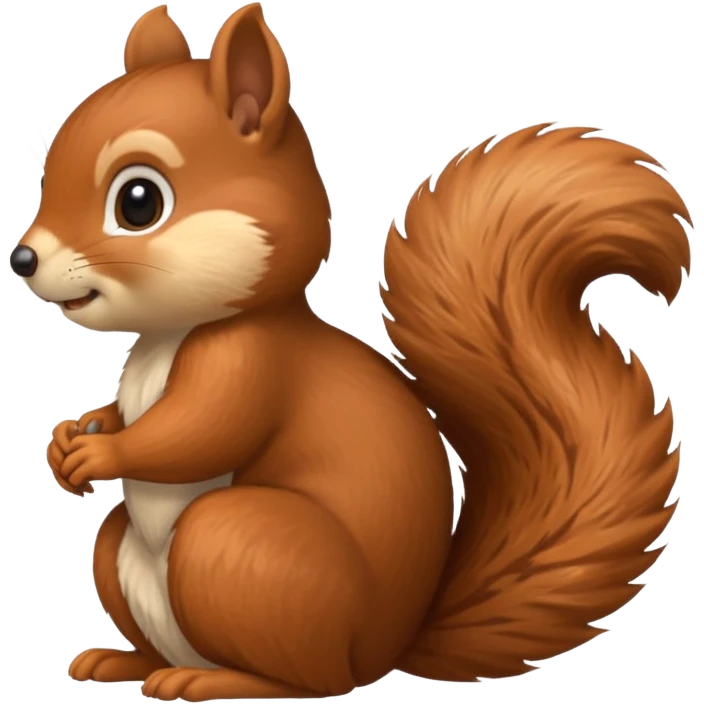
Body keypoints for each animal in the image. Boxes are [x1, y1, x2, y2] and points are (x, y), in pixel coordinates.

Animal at [11, 3, 691, 702]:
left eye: (138, 202)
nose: (23, 258)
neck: (174, 333)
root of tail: (387, 649)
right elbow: (124, 414)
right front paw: (70, 438)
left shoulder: (253, 362)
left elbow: (198, 431)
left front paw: (101, 452)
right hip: (127, 554)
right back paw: (123, 662)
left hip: (239, 549)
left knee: (308, 680)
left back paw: (216, 680)